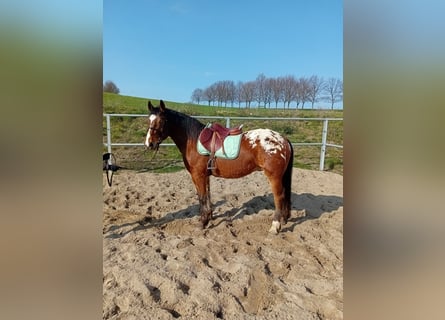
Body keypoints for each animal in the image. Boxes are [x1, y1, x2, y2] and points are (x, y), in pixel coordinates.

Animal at [144, 99, 294, 234]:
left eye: (161, 121)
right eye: (148, 120)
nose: (149, 144)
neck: (193, 140)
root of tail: (283, 138)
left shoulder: (198, 175)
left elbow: (202, 197)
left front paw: (202, 223)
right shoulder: (205, 176)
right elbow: (207, 196)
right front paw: (209, 217)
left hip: (274, 176)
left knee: (279, 197)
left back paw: (275, 226)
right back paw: (284, 219)